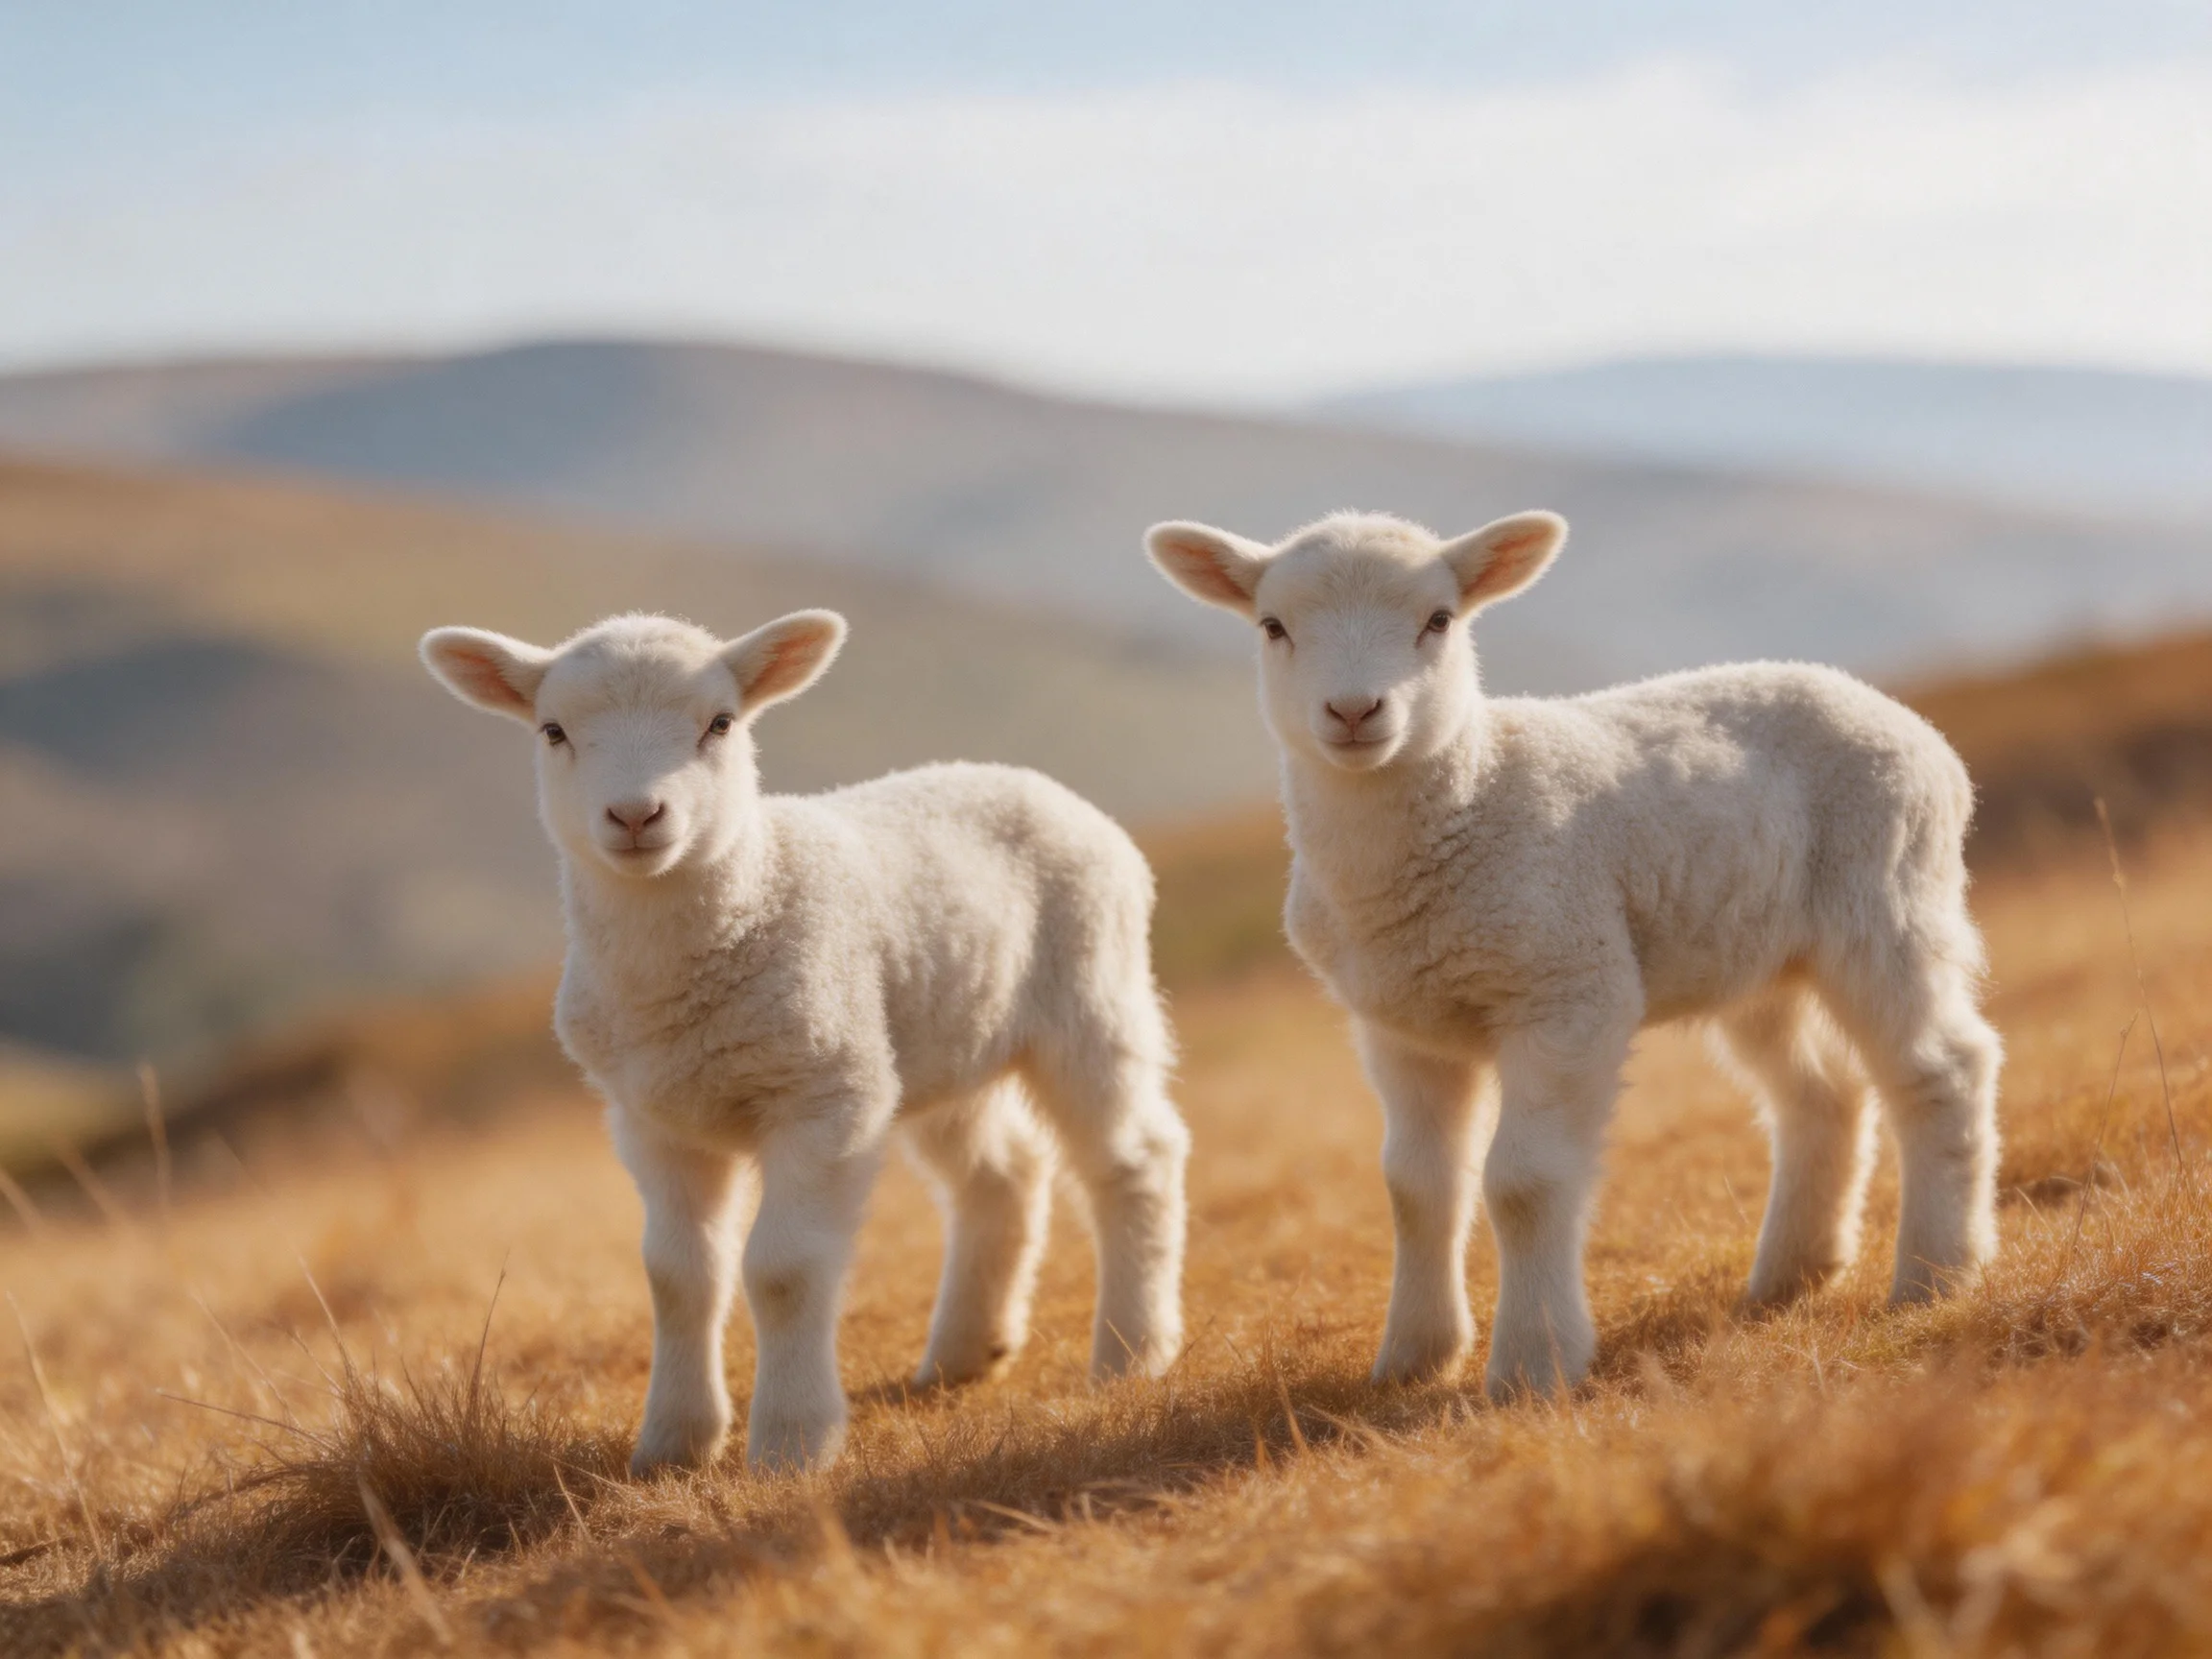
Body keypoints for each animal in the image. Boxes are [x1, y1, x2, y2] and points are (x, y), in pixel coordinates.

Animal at [419, 610, 1189, 1472]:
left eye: (720, 723)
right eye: (552, 731)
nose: (636, 816)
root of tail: (1027, 780)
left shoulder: (825, 1095)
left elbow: (783, 1269)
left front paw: (793, 1441)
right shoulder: (652, 1121)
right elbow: (677, 1276)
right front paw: (674, 1441)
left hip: (1089, 991)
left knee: (1135, 1158)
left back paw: (1131, 1352)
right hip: (934, 1042)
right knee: (1002, 1174)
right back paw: (966, 1351)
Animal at [1147, 510, 2001, 1400]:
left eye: (1439, 620)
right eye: (1273, 627)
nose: (1353, 710)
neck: (1467, 799)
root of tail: (1905, 722)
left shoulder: (1568, 989)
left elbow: (1524, 1183)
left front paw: (1533, 1363)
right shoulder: (1399, 1026)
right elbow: (1415, 1188)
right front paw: (1414, 1356)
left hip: (1887, 897)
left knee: (1943, 1068)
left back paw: (1937, 1273)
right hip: (1754, 957)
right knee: (1820, 1094)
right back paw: (1793, 1273)